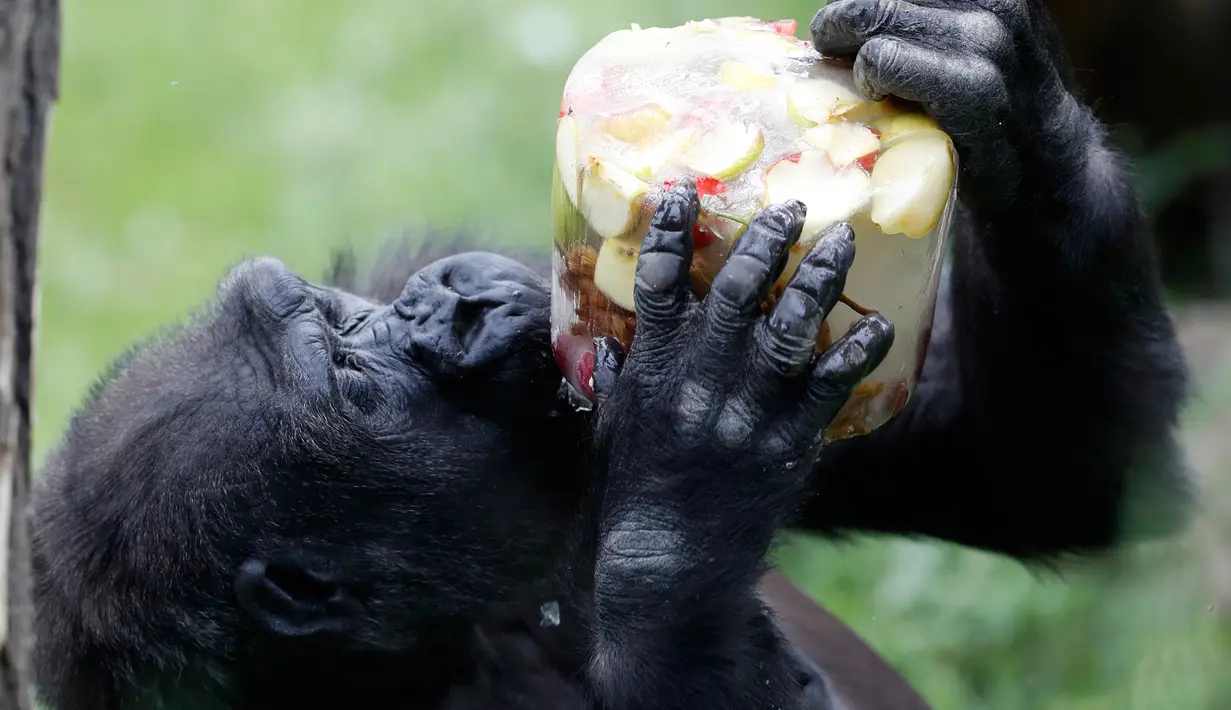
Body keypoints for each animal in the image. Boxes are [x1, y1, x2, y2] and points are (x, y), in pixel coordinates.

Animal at [28, 4, 1191, 708]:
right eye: (354, 383)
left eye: (339, 310)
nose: (445, 304)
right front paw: (698, 438)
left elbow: (1035, 475)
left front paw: (1005, 100)